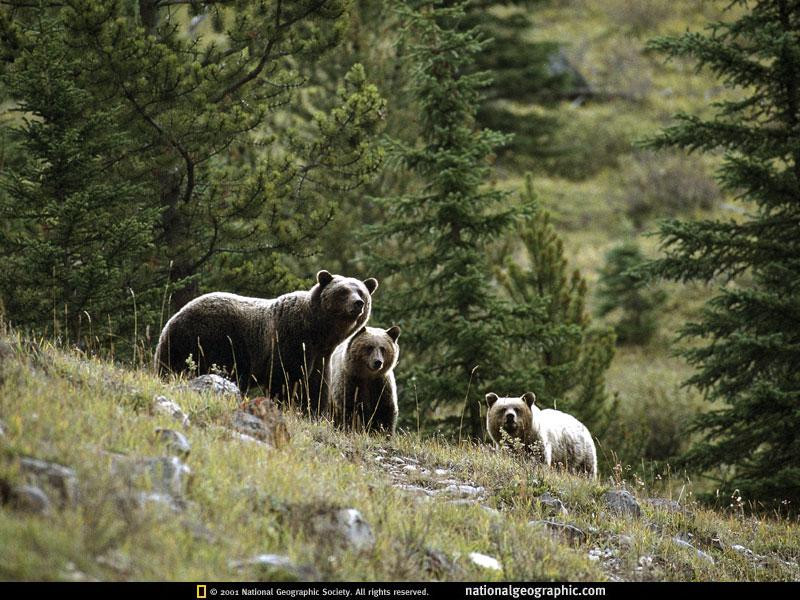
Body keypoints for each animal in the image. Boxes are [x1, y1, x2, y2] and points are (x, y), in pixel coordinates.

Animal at [154, 270, 378, 414]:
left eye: (361, 292)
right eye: (343, 291)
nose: (358, 303)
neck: (317, 333)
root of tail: (171, 320)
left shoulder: (321, 357)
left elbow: (316, 387)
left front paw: (312, 412)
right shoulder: (289, 340)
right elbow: (284, 378)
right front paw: (284, 405)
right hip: (209, 340)